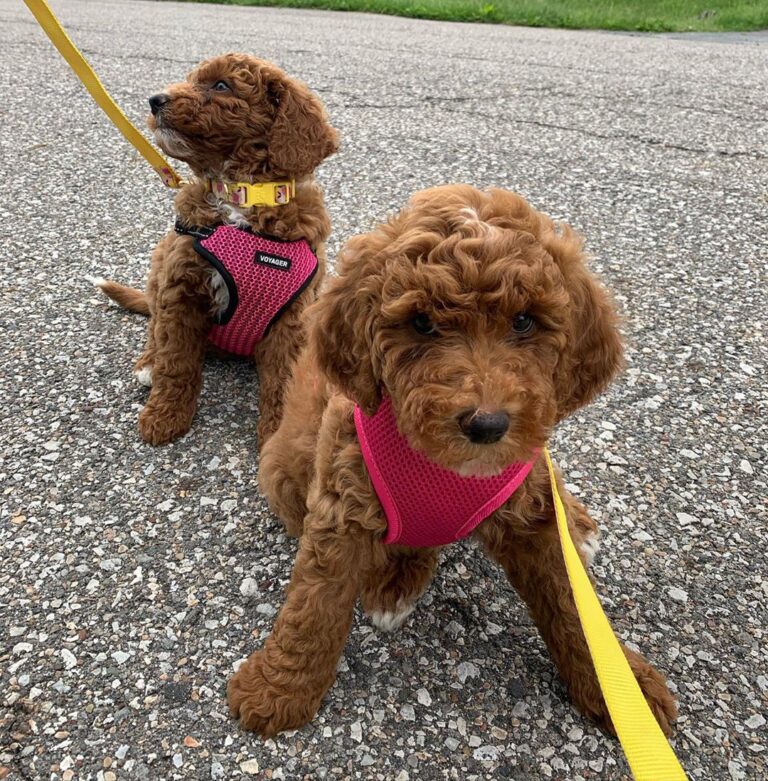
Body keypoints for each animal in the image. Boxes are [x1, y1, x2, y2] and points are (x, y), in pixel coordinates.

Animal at [91, 53, 338, 444]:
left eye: (221, 86)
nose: (154, 100)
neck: (241, 194)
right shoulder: (179, 293)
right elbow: (175, 361)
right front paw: (164, 416)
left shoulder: (292, 317)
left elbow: (283, 380)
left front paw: (276, 437)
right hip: (159, 264)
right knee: (154, 330)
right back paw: (148, 365)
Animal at [230, 183, 680, 736]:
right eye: (422, 323)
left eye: (524, 321)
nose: (486, 426)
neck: (445, 465)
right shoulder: (341, 502)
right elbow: (315, 603)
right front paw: (279, 688)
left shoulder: (530, 511)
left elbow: (570, 599)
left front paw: (622, 689)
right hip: (281, 468)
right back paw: (395, 582)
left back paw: (576, 521)